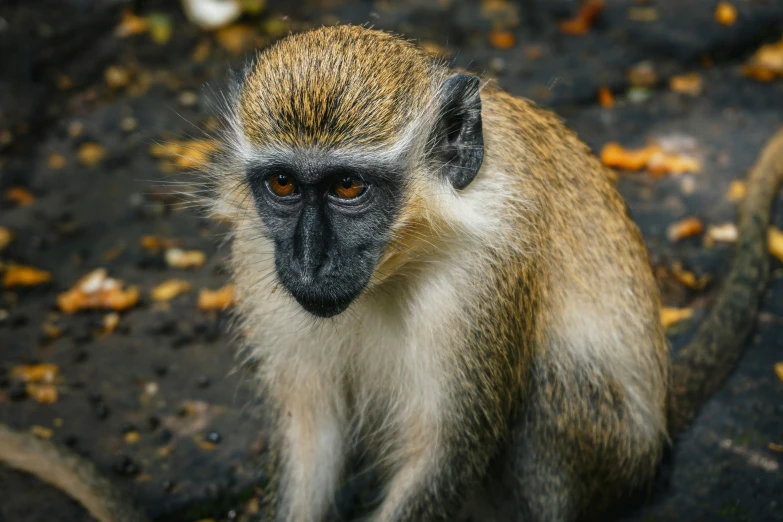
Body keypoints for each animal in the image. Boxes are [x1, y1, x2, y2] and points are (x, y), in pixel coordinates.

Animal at [1, 23, 783, 520]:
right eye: (282, 185)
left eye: (349, 188)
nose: (308, 258)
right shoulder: (258, 258)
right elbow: (311, 435)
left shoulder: (486, 275)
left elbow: (444, 453)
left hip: (614, 453)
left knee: (557, 387)